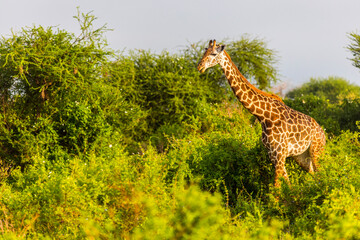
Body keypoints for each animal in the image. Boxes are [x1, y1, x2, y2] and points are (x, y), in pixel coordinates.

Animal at [197, 39, 326, 187]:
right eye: (204, 51)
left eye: (213, 54)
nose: (199, 66)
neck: (263, 116)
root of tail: (323, 133)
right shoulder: (274, 155)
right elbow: (286, 185)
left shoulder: (279, 154)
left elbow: (276, 188)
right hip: (301, 156)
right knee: (312, 173)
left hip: (316, 151)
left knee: (321, 174)